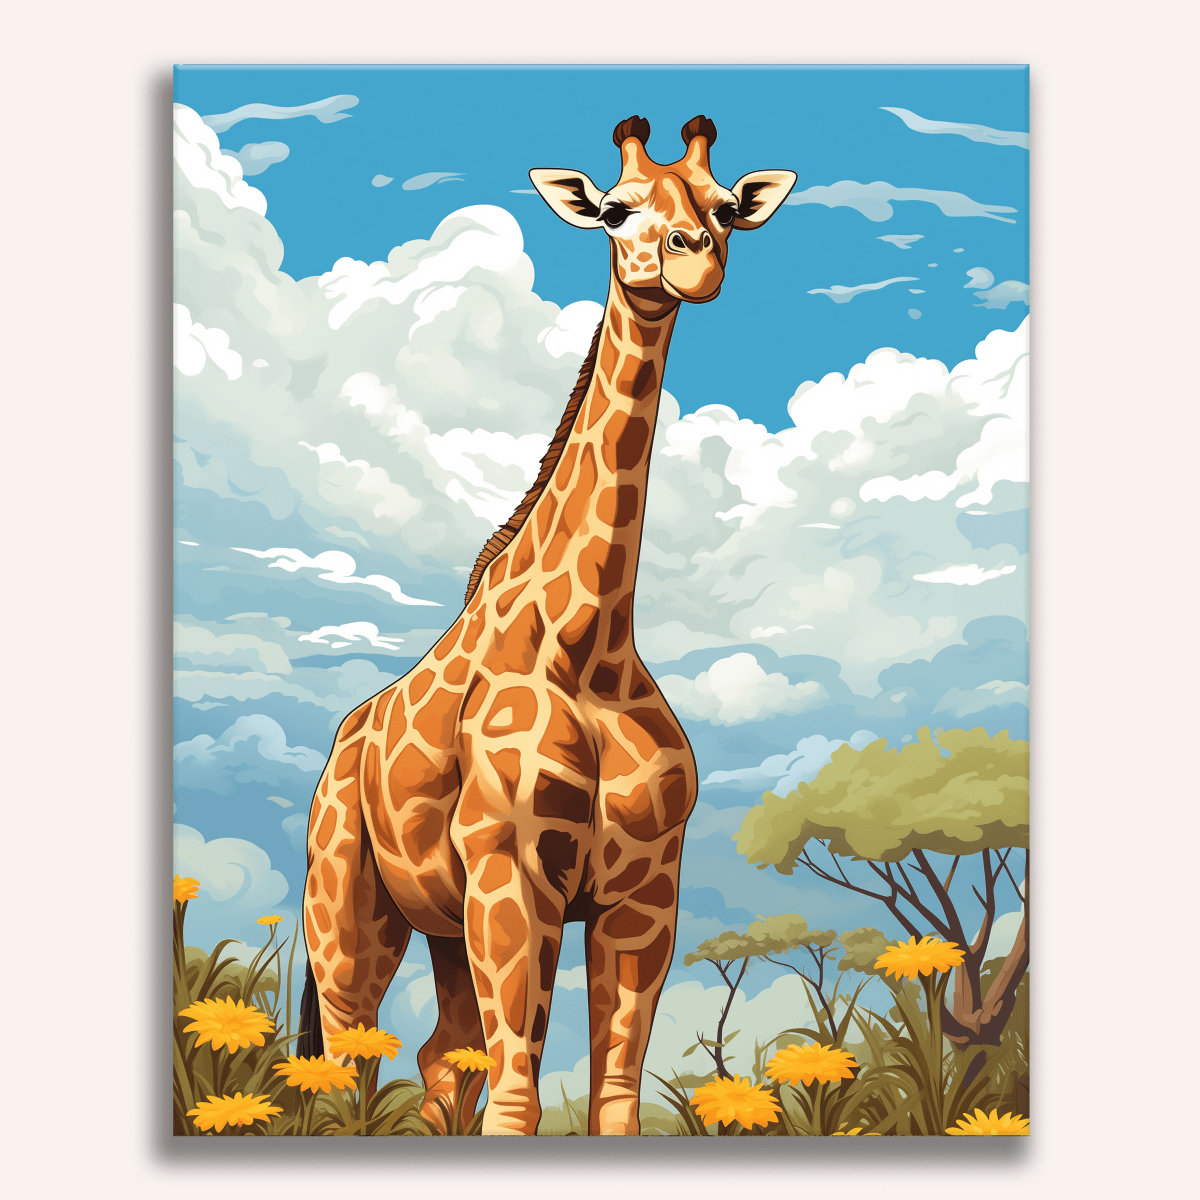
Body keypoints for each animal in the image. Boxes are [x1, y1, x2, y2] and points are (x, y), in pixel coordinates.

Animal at [298, 114, 796, 1136]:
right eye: (614, 210)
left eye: (726, 206)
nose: (694, 257)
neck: (588, 645)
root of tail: (336, 751)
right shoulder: (512, 874)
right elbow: (519, 1093)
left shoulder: (642, 891)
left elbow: (612, 1093)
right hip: (349, 909)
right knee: (346, 1059)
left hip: (443, 926)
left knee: (438, 1058)